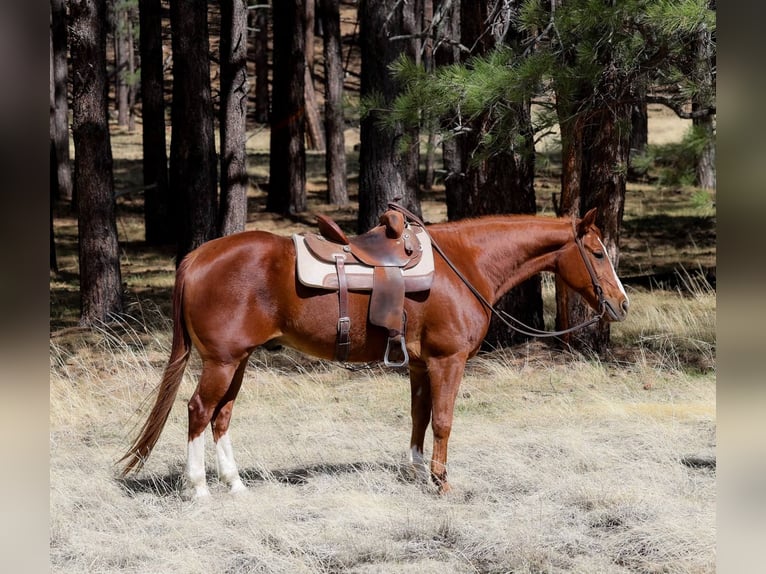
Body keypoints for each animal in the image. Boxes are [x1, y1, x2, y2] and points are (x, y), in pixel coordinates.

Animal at [119, 207, 629, 496]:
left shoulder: (421, 364)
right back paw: (200, 490)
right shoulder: (447, 361)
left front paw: (416, 473)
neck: (463, 266)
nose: (621, 303)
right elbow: (443, 420)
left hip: (238, 361)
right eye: (598, 253)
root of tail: (196, 257)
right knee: (198, 410)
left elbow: (419, 417)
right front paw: (442, 484)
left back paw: (236, 485)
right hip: (222, 362)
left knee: (221, 415)